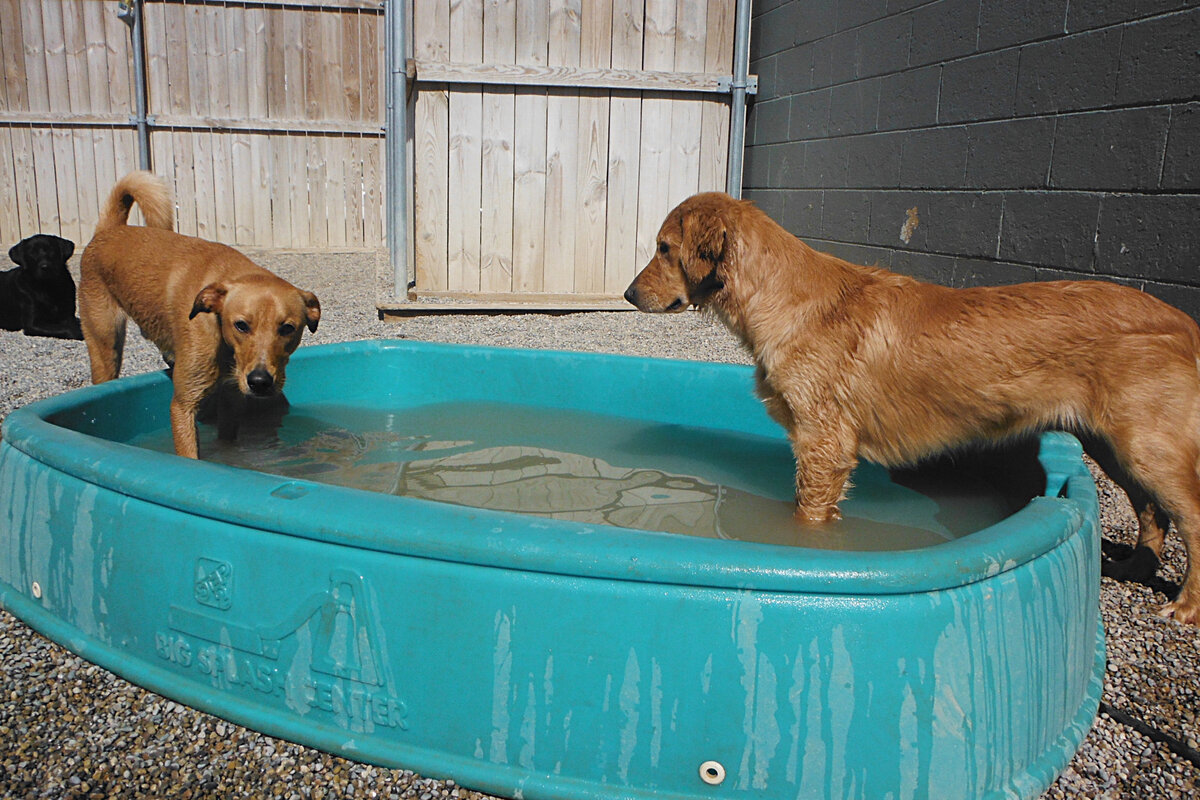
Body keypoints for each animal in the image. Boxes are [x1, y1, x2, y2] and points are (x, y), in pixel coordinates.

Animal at [81, 172, 321, 460]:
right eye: (241, 325)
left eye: (287, 328)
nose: (260, 382)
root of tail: (108, 230)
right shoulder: (183, 405)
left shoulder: (231, 401)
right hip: (105, 345)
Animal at [624, 190, 1200, 623]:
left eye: (665, 248)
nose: (628, 294)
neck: (782, 297)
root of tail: (1183, 319)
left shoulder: (823, 446)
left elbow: (807, 520)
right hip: (1114, 445)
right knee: (1152, 511)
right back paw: (1136, 568)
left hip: (1146, 446)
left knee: (1190, 517)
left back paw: (1185, 607)